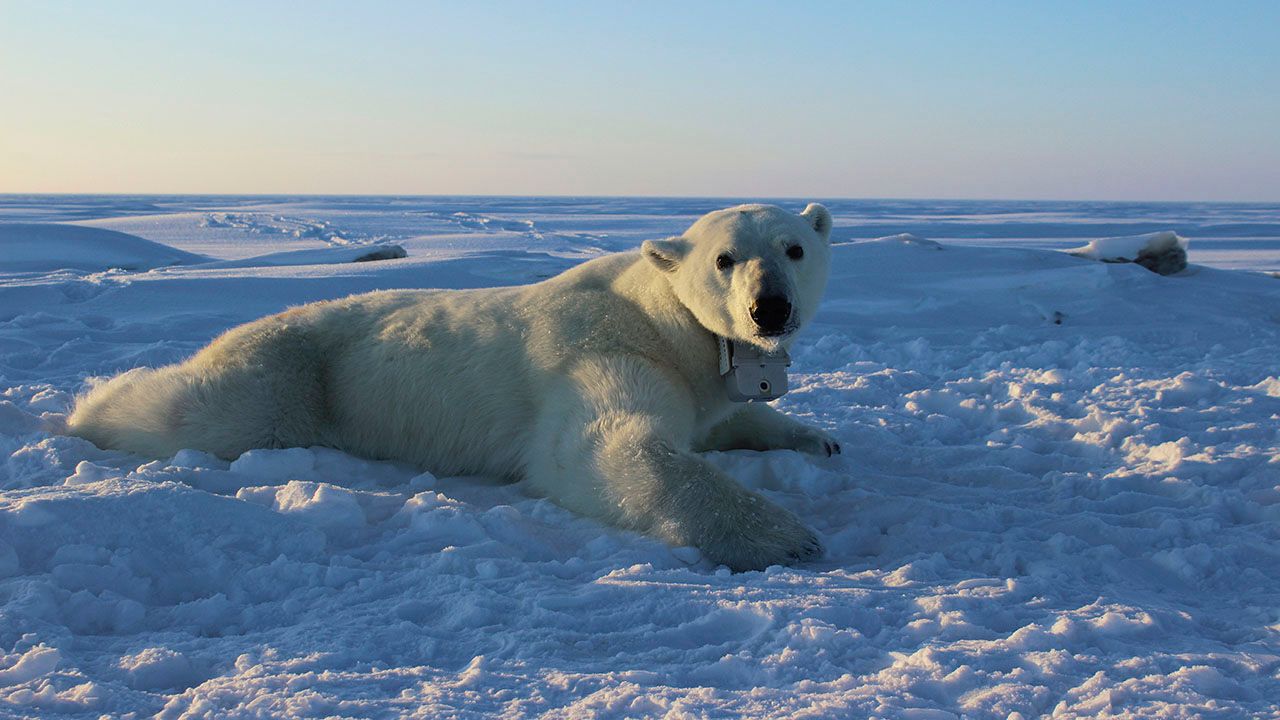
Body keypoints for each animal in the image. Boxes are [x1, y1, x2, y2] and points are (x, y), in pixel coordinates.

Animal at [67, 204, 839, 568]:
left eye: (795, 247)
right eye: (725, 258)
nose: (770, 308)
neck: (662, 319)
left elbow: (728, 417)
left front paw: (818, 439)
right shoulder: (603, 352)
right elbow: (604, 447)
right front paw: (785, 537)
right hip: (292, 376)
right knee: (199, 411)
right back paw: (86, 407)